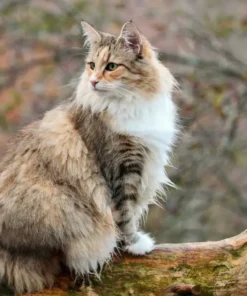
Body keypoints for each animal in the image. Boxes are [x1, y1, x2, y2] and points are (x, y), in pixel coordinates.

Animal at [0, 21, 178, 294]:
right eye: (92, 65)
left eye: (112, 67)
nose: (93, 82)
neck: (130, 102)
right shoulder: (121, 169)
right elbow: (125, 214)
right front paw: (134, 244)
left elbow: (132, 211)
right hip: (55, 203)